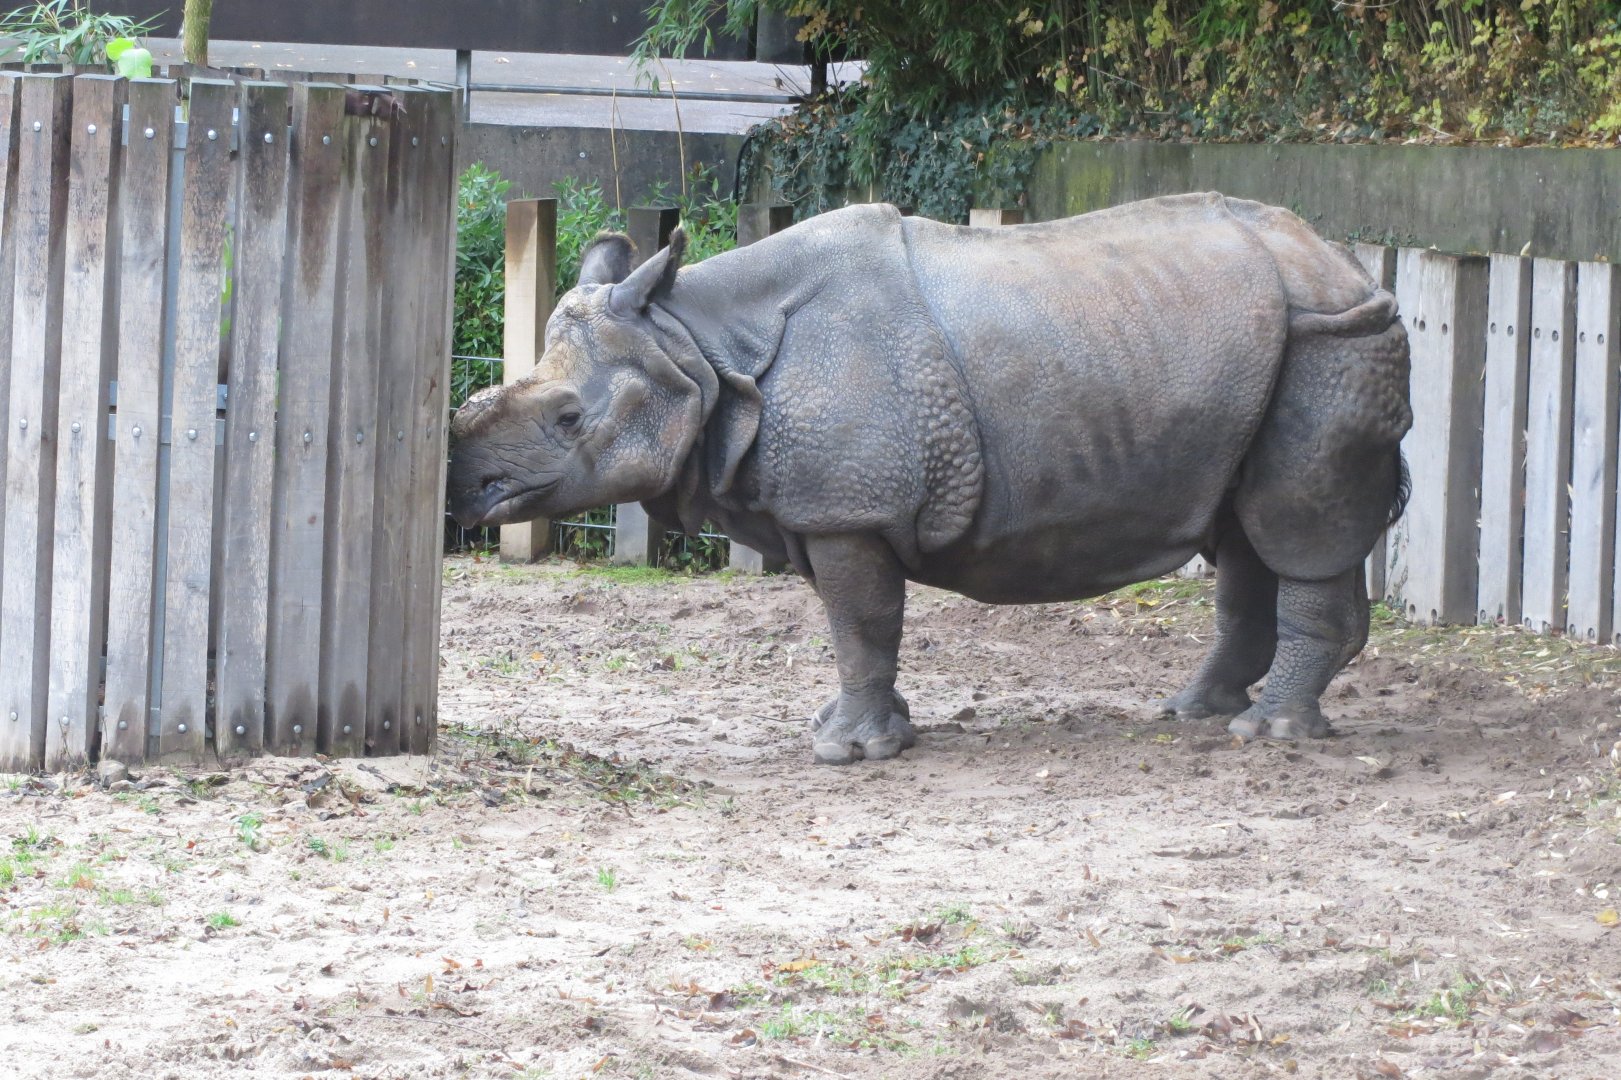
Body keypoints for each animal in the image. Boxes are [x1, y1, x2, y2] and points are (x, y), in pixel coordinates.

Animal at [448, 194, 1411, 766]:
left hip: (1329, 338)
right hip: (1275, 346)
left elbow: (860, 620)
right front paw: (862, 731)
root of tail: (1349, 263)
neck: (699, 346)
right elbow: (858, 624)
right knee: (1246, 533)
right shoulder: (829, 503)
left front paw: (847, 753)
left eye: (567, 419)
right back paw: (1194, 714)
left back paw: (1269, 733)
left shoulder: (848, 505)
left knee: (1294, 526)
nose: (469, 488)